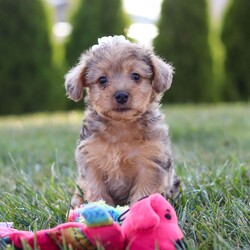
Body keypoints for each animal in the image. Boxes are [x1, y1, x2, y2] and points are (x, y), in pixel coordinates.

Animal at [65, 35, 181, 207]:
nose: (121, 96)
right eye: (102, 79)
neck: (121, 126)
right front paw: (101, 208)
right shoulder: (92, 161)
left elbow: (144, 192)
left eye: (136, 76)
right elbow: (96, 190)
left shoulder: (151, 163)